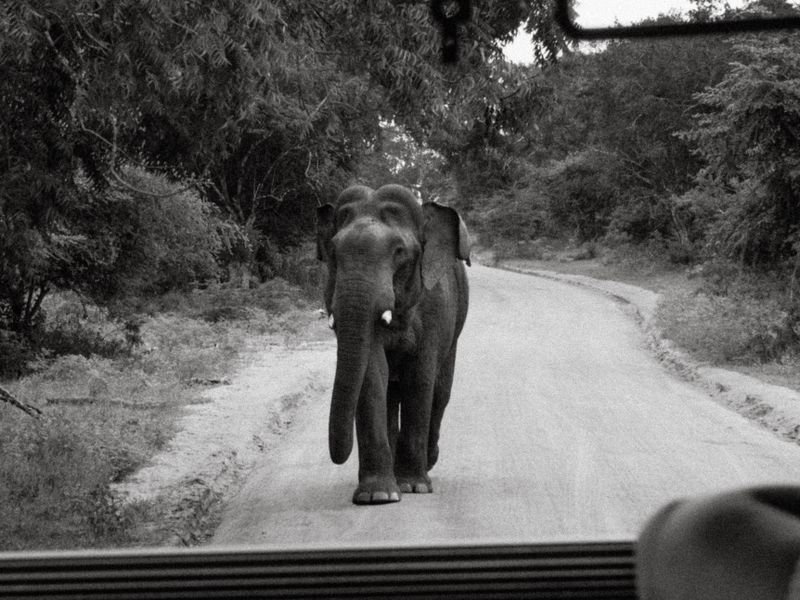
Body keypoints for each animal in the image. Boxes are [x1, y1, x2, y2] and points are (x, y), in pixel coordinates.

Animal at [316, 184, 470, 505]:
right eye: (333, 252)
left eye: (399, 252)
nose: (339, 456)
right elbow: (372, 375)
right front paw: (378, 495)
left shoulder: (435, 308)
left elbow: (419, 378)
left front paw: (414, 486)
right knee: (390, 393)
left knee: (440, 391)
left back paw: (427, 462)